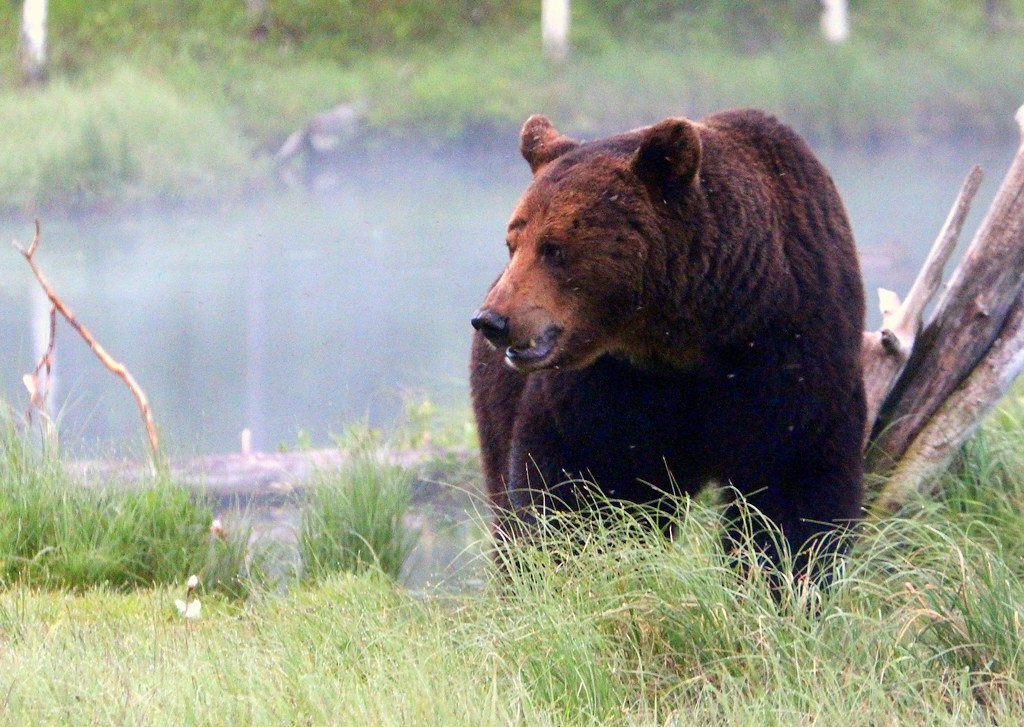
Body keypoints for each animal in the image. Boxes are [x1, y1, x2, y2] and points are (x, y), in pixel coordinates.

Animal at [470, 109, 866, 580]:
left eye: (553, 247)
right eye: (513, 242)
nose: (492, 320)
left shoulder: (796, 353)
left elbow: (794, 489)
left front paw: (780, 577)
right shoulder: (611, 385)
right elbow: (583, 488)